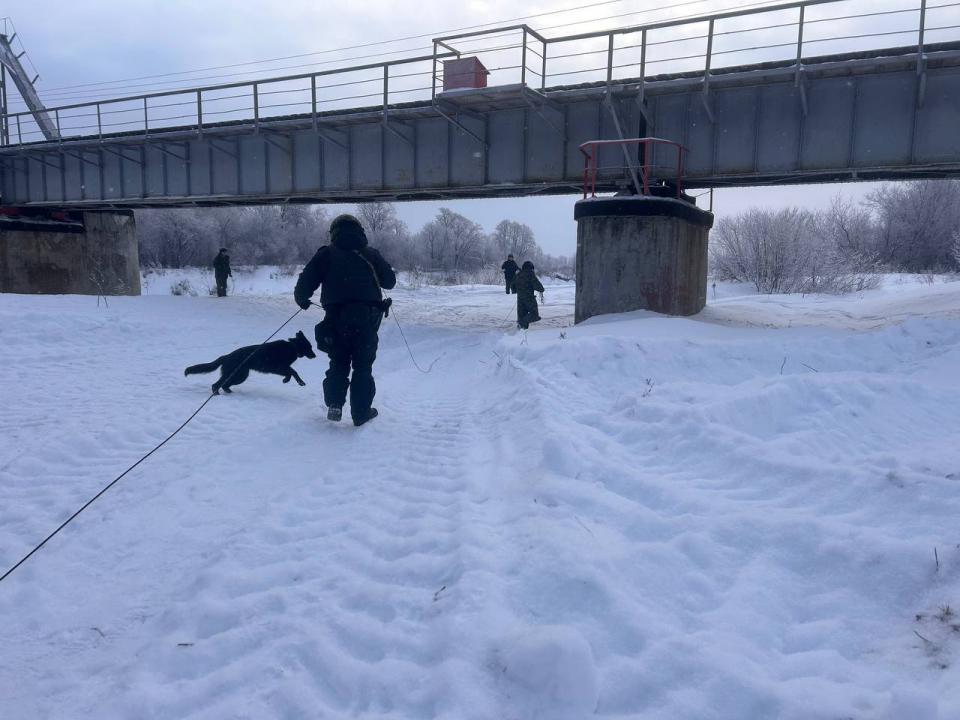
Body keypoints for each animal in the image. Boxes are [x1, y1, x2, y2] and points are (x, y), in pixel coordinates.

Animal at [187, 330, 318, 394]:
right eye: (310, 347)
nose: (315, 356)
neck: (292, 346)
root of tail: (227, 356)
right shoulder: (279, 367)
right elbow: (293, 372)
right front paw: (297, 381)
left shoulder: (280, 368)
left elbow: (291, 372)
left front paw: (287, 380)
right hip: (237, 375)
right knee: (217, 384)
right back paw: (217, 394)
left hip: (240, 376)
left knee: (224, 385)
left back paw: (230, 393)